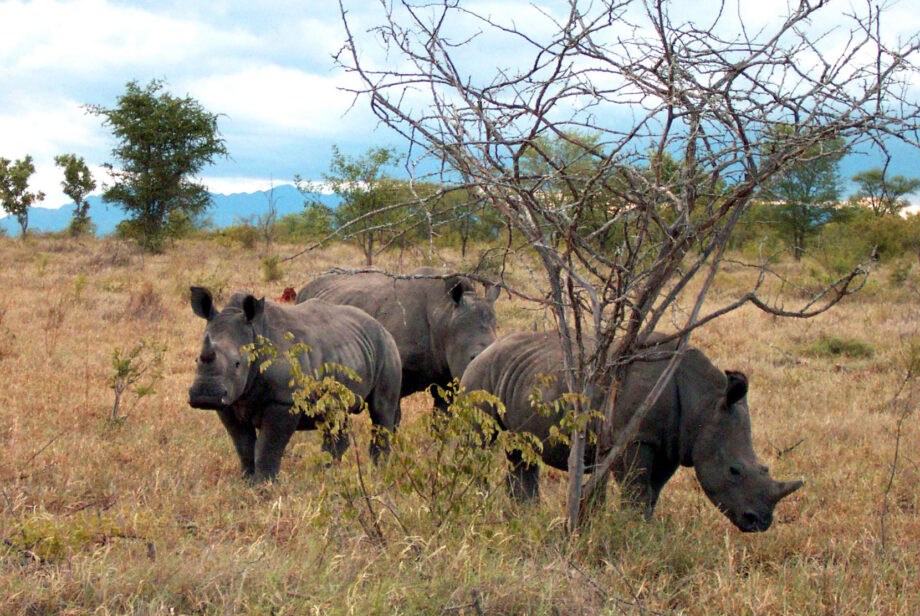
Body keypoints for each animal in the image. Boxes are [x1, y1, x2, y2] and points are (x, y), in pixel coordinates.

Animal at [188, 287, 402, 482]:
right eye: (196, 360)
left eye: (237, 364)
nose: (205, 396)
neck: (255, 331)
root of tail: (381, 325)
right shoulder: (229, 402)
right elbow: (243, 446)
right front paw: (246, 482)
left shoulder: (284, 401)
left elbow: (268, 447)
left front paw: (264, 486)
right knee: (336, 414)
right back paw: (327, 474)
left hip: (386, 347)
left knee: (381, 409)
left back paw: (378, 472)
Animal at [460, 332, 804, 532]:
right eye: (734, 470)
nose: (760, 523)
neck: (704, 400)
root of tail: (485, 349)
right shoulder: (635, 438)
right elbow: (636, 488)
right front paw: (633, 528)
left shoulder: (671, 443)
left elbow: (653, 490)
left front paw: (645, 528)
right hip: (481, 375)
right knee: (479, 442)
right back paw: (479, 502)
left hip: (523, 372)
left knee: (521, 450)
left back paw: (526, 513)